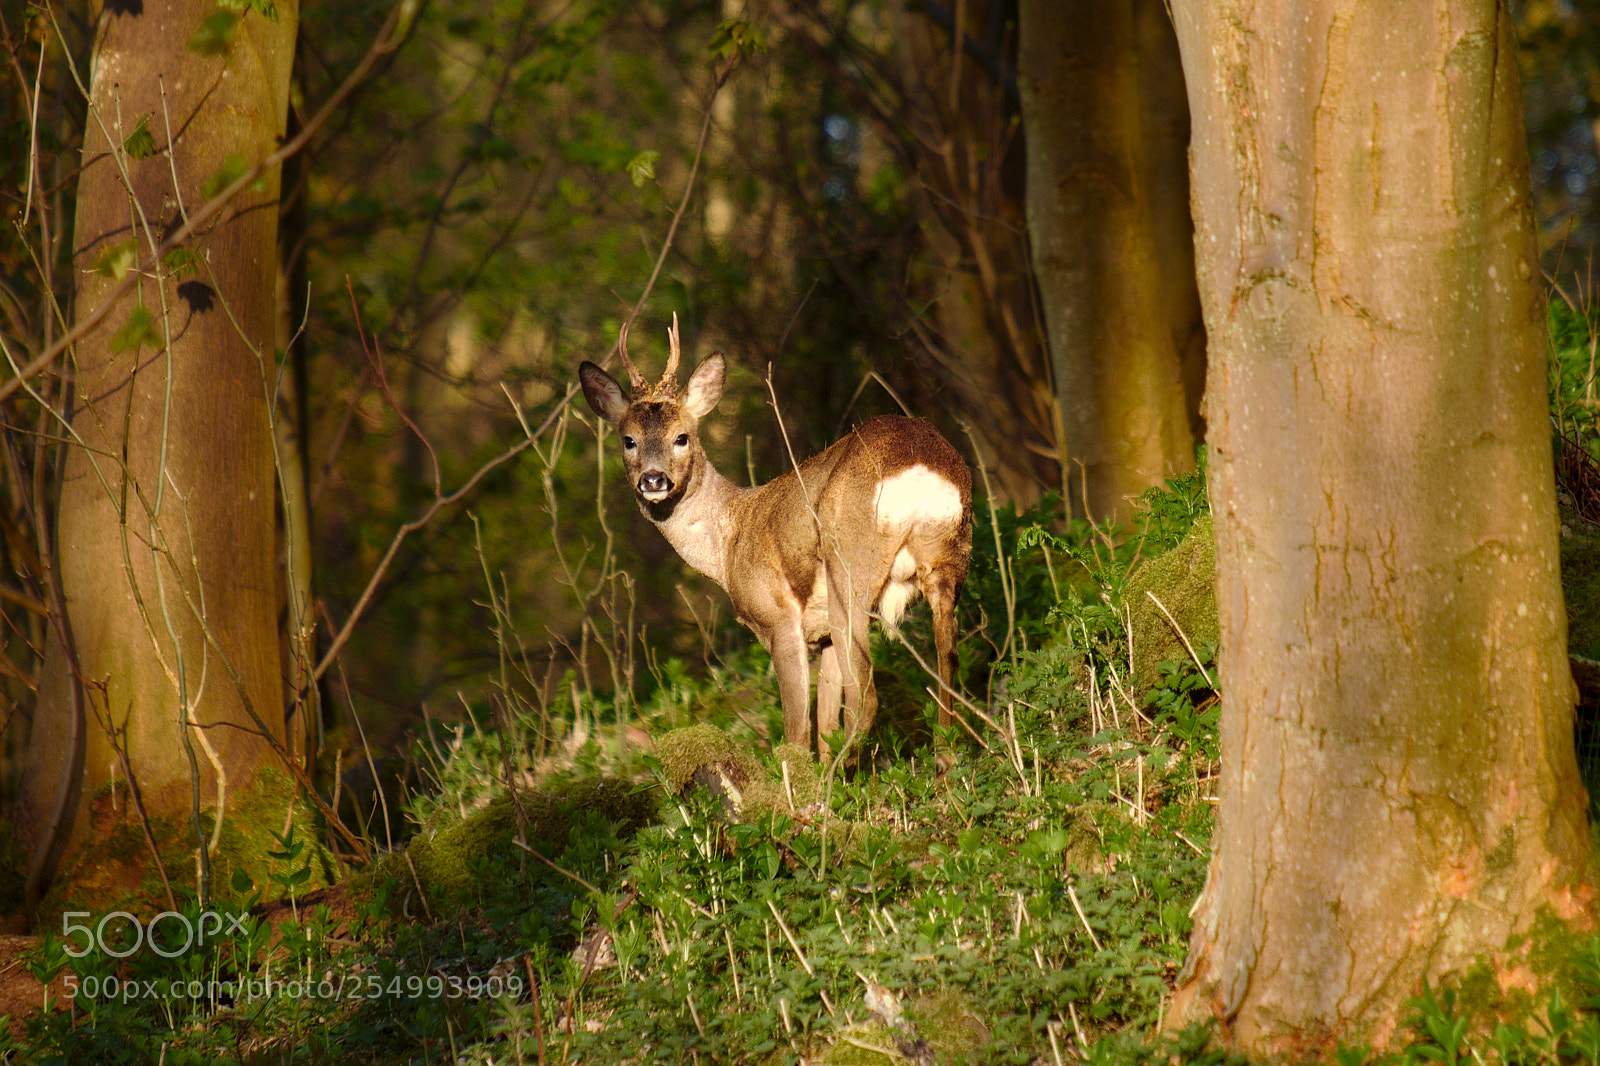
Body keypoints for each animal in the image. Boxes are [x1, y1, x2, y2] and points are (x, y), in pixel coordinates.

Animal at [578, 318, 972, 771]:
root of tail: (920, 464)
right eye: (628, 439)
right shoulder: (821, 633)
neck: (729, 537)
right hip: (948, 561)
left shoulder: (777, 617)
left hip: (850, 569)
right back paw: (938, 764)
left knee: (866, 698)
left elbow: (798, 729)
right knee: (948, 664)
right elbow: (825, 722)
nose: (654, 479)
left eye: (682, 437)